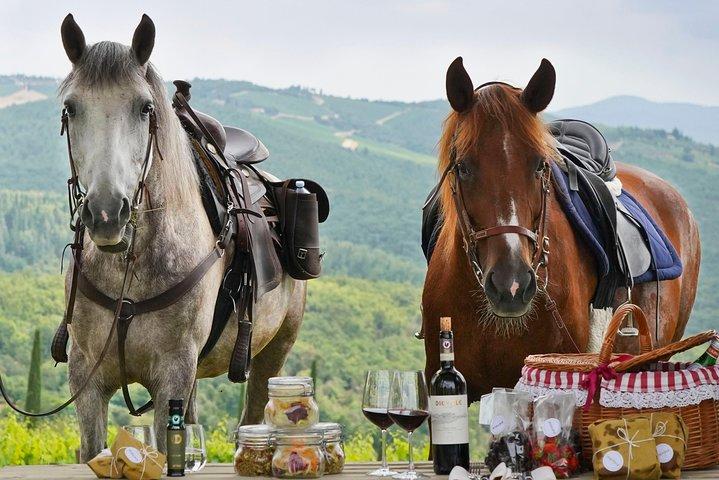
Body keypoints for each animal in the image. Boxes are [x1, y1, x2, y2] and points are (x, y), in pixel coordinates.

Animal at [58, 14, 307, 460]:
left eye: (145, 108)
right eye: (71, 108)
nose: (106, 213)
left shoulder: (173, 371)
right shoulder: (86, 375)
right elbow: (92, 450)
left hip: (275, 351)